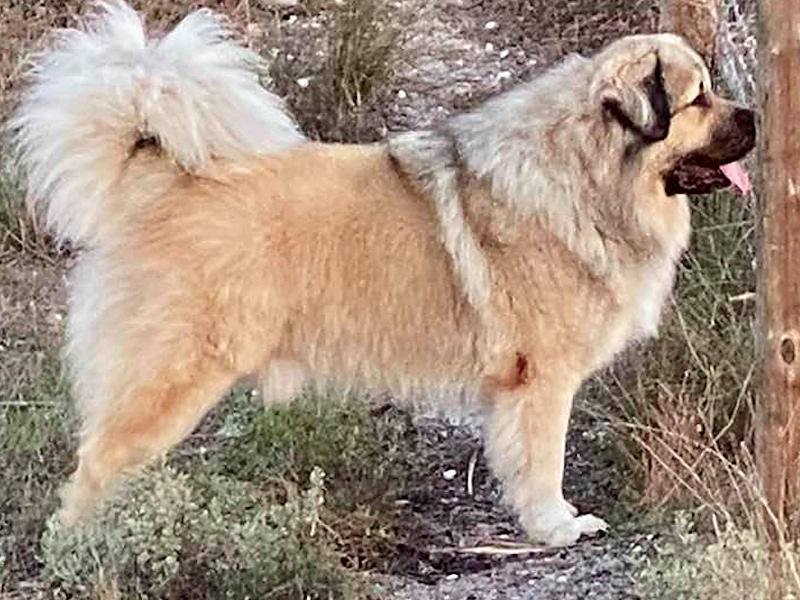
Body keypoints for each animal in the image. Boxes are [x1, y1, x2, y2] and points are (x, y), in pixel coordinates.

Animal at [10, 1, 755, 546]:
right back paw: (88, 552)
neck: (582, 170)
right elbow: (543, 464)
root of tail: (158, 176)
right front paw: (556, 527)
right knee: (92, 472)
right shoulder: (542, 381)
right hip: (170, 378)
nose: (755, 116)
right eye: (698, 100)